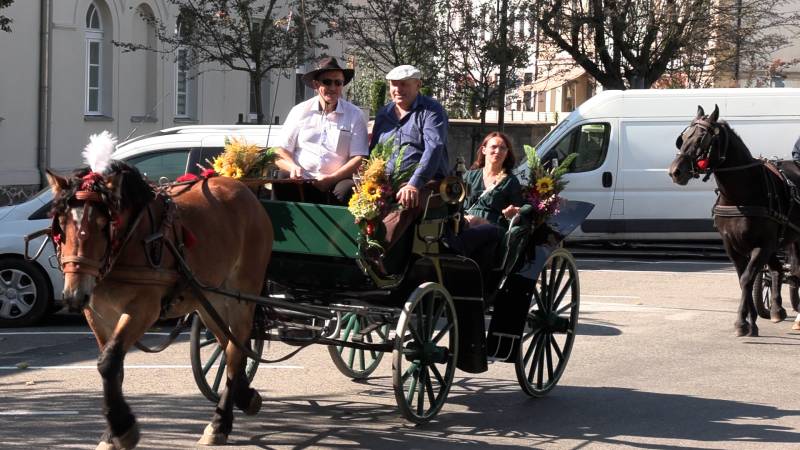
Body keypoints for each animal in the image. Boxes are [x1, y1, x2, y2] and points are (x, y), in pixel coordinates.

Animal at [47, 160, 274, 448]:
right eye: (61, 224)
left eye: (102, 225)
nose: (73, 295)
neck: (129, 241)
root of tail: (244, 190)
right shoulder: (96, 313)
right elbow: (114, 368)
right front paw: (111, 433)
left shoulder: (143, 308)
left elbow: (108, 361)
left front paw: (122, 428)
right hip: (209, 299)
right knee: (229, 344)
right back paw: (245, 396)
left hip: (242, 295)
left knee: (235, 349)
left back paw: (219, 423)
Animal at [668, 106, 800, 338]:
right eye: (683, 138)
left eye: (702, 138)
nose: (675, 171)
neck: (740, 196)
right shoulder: (733, 246)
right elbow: (744, 280)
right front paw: (751, 320)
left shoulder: (762, 246)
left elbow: (747, 278)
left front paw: (742, 322)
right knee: (777, 269)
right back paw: (776, 309)